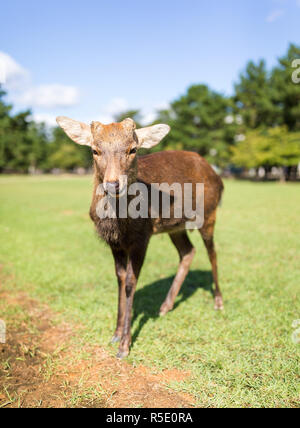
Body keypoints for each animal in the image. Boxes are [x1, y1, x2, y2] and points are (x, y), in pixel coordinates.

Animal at [56, 115, 225, 360]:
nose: (113, 183)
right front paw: (115, 334)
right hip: (175, 226)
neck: (120, 224)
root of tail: (218, 177)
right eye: (95, 150)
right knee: (188, 251)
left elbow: (130, 282)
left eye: (133, 149)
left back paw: (218, 301)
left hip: (209, 213)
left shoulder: (142, 237)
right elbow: (119, 278)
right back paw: (165, 306)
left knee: (212, 253)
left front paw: (124, 346)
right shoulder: (115, 243)